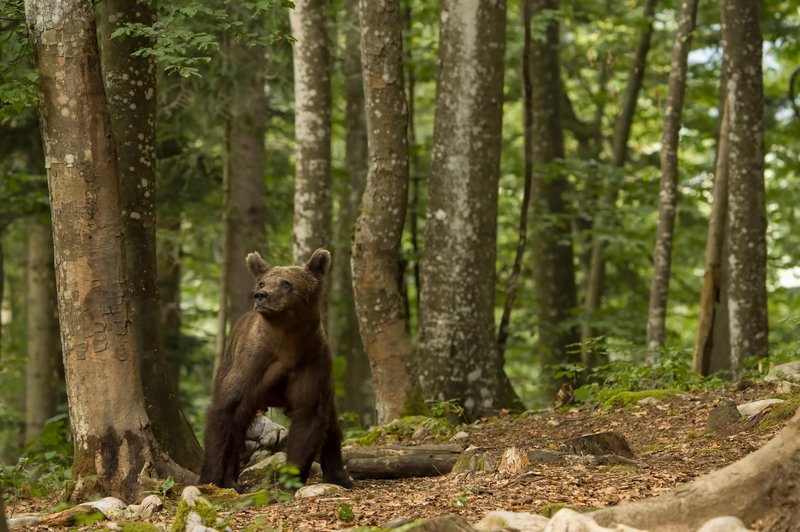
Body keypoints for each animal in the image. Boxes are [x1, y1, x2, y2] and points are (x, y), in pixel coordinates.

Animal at [199, 249, 354, 490]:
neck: (287, 341)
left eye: (285, 282)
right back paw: (232, 480)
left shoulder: (311, 361)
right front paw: (211, 479)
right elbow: (226, 409)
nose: (261, 295)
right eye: (262, 282)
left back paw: (340, 476)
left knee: (331, 424)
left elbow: (309, 416)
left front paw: (290, 480)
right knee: (239, 425)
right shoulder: (254, 364)